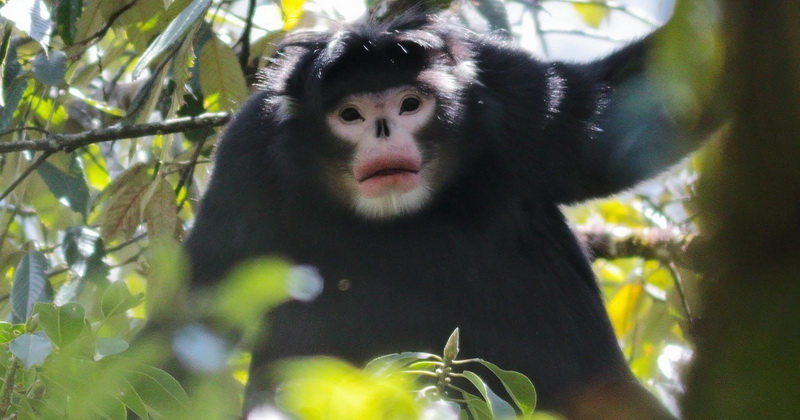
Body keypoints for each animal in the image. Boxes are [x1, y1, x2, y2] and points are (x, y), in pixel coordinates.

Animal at [183, 11, 708, 418]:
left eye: (409, 104)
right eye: (351, 115)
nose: (383, 129)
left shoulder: (510, 88)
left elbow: (621, 125)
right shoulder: (247, 154)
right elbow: (200, 308)